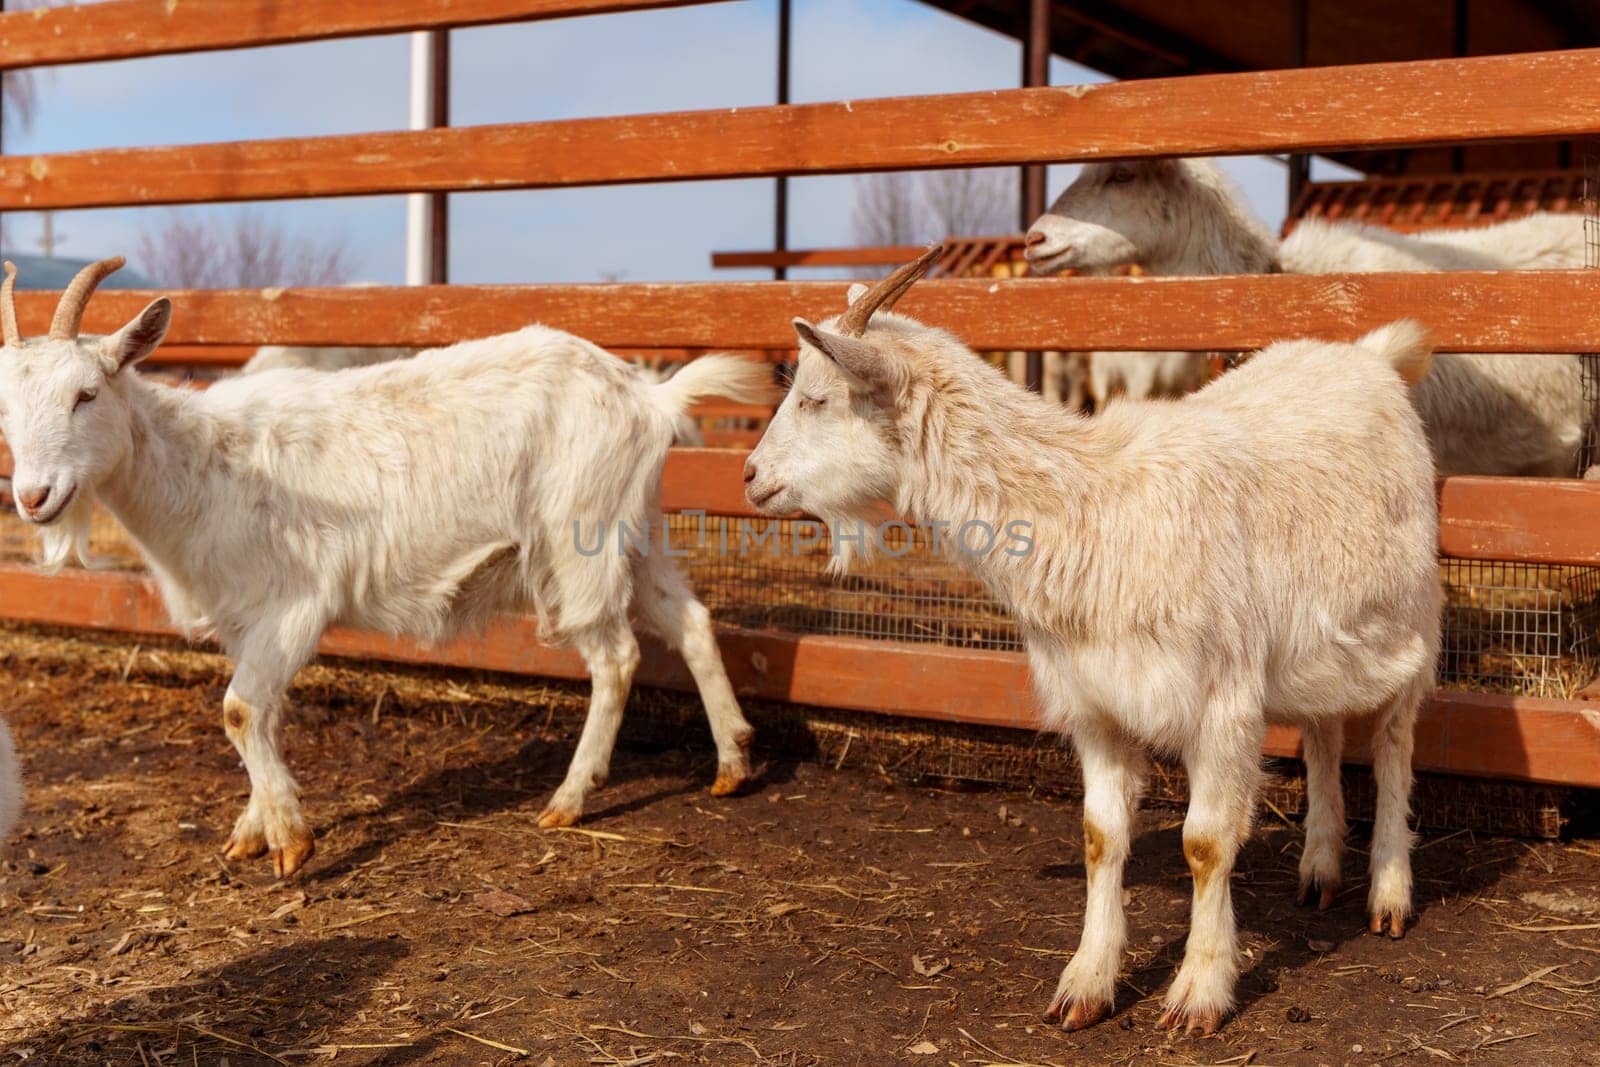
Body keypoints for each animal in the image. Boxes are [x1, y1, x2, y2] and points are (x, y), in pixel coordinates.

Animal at [0, 259, 768, 876]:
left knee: (615, 656)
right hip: (635, 529)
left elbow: (241, 711)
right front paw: (254, 828)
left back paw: (570, 798)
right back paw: (733, 762)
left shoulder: (293, 604)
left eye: (86, 394)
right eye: (5, 409)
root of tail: (650, 398)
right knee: (691, 621)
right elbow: (262, 713)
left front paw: (290, 841)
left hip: (580, 535)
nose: (33, 496)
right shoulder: (244, 618)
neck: (200, 464)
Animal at [742, 251, 1446, 1036]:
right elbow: (1100, 836)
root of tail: (1368, 356)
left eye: (816, 399)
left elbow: (1205, 843)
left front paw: (1199, 991)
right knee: (1325, 733)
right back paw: (1320, 868)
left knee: (1393, 745)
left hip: (1415, 622)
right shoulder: (1096, 702)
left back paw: (1389, 891)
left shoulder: (1221, 700)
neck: (1093, 506)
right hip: (1324, 644)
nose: (750, 476)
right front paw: (1086, 982)